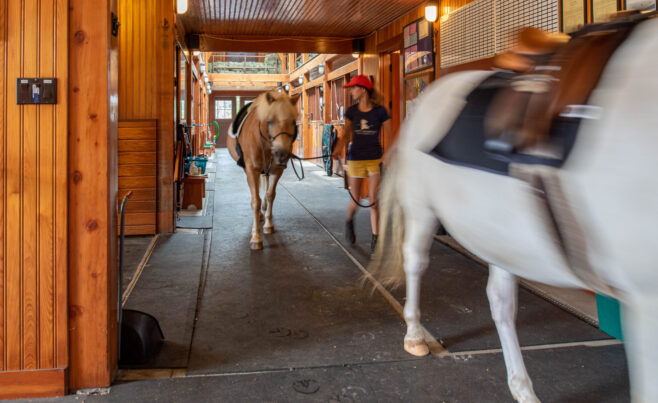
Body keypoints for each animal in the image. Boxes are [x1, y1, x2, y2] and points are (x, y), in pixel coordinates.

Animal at [226, 91, 298, 249]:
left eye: (293, 121)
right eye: (270, 121)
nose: (282, 153)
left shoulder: (277, 170)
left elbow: (270, 195)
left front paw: (268, 225)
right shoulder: (251, 170)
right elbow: (255, 201)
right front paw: (256, 237)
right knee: (256, 192)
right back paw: (259, 215)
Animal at [368, 18, 656, 400]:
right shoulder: (646, 296)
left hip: (499, 229)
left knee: (500, 300)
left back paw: (522, 387)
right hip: (422, 208)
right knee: (415, 262)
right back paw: (415, 334)